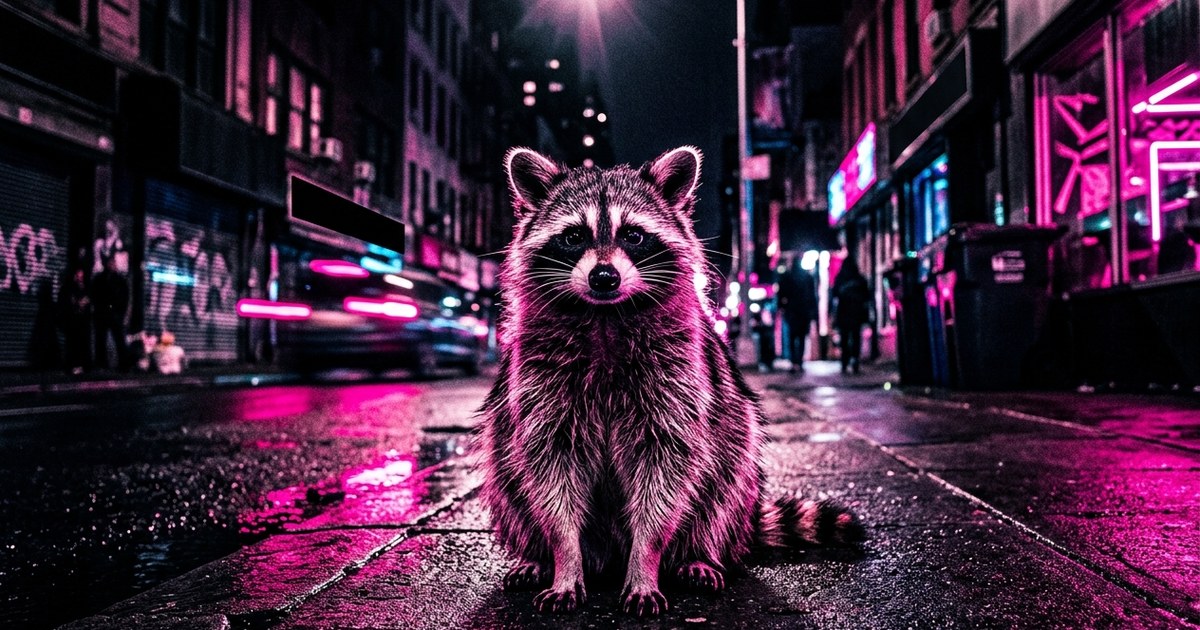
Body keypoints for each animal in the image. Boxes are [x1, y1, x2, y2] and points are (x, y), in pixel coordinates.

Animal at [477, 146, 862, 617]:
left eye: (633, 235)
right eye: (573, 237)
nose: (604, 277)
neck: (605, 315)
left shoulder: (676, 379)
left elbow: (665, 471)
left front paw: (646, 561)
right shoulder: (542, 380)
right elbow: (551, 470)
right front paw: (564, 559)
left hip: (735, 461)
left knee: (723, 481)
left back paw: (698, 554)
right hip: (502, 443)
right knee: (507, 475)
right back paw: (535, 556)